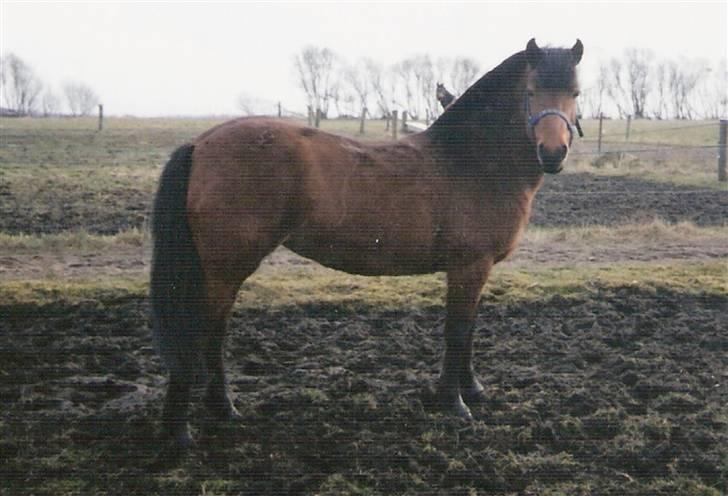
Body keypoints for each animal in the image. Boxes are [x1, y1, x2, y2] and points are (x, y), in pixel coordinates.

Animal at [151, 38, 584, 448]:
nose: (552, 153)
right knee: (199, 332)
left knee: (214, 333)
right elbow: (458, 331)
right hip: (225, 267)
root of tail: (201, 143)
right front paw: (454, 403)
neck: (472, 161)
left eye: (576, 93)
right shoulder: (468, 266)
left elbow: (471, 329)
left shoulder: (477, 270)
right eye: (531, 91)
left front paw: (472, 390)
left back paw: (221, 409)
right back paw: (180, 432)